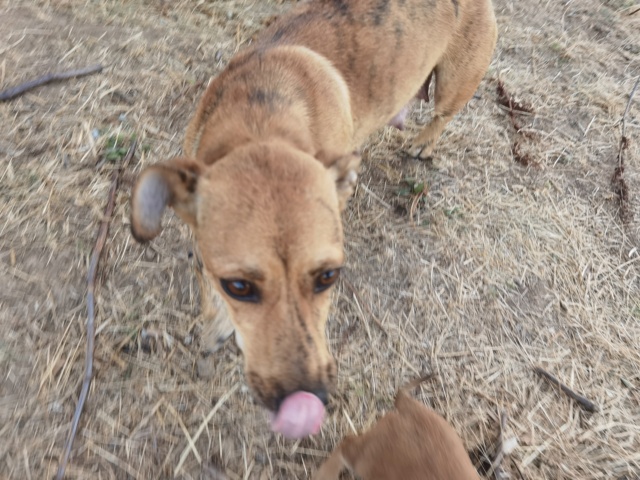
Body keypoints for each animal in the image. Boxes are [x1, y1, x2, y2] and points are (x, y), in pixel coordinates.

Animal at [130, 0, 498, 438]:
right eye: (238, 286)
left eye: (328, 277)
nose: (308, 400)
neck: (261, 120)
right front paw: (217, 325)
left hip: (454, 84)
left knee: (442, 114)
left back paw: (423, 143)